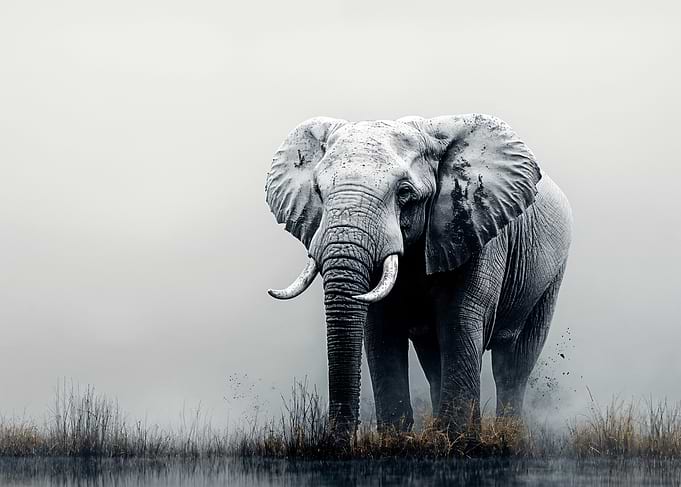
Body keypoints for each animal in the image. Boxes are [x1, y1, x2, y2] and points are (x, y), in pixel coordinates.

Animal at [264, 114, 572, 440]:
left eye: (404, 193)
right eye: (319, 192)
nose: (336, 443)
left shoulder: (475, 226)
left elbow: (459, 322)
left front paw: (460, 442)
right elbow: (381, 332)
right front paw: (397, 440)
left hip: (552, 274)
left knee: (513, 362)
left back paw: (508, 433)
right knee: (435, 360)